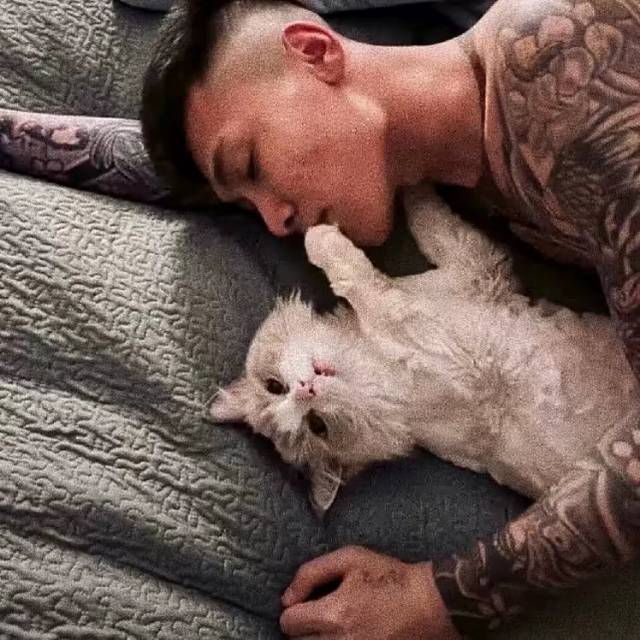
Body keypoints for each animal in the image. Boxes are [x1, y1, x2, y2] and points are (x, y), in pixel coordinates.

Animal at [208, 183, 640, 516]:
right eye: (317, 426)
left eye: (274, 386)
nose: (305, 389)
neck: (368, 354)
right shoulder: (432, 330)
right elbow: (357, 275)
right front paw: (318, 233)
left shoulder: (475, 269)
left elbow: (427, 216)